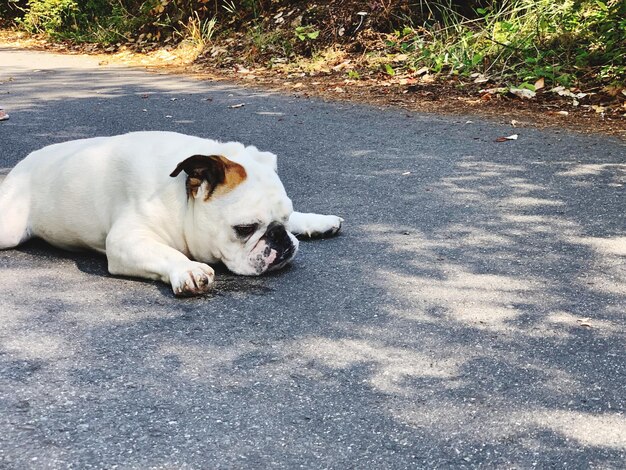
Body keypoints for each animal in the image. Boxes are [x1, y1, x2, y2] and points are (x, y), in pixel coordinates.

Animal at [0, 130, 342, 296]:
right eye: (245, 229)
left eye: (284, 219)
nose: (280, 239)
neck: (182, 195)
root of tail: (22, 165)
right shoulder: (127, 241)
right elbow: (166, 254)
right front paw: (188, 270)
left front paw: (316, 221)